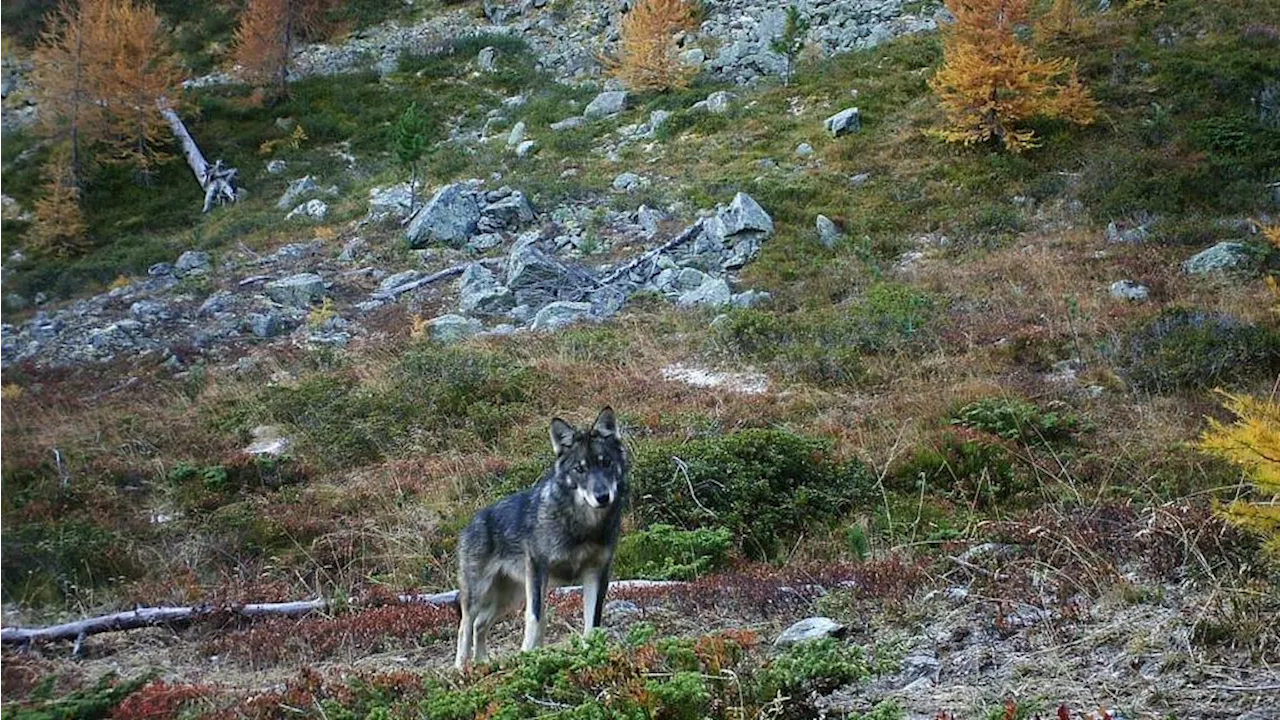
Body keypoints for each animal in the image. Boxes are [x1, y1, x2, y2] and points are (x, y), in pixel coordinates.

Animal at [455, 404, 629, 666]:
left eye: (606, 462)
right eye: (580, 469)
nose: (602, 497)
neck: (583, 526)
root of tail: (471, 522)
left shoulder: (597, 573)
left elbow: (593, 623)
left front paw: (591, 654)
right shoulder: (538, 570)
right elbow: (537, 619)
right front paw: (529, 655)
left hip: (508, 598)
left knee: (480, 625)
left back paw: (483, 664)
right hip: (479, 594)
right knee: (465, 627)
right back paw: (460, 668)